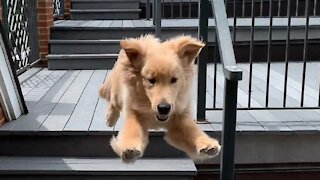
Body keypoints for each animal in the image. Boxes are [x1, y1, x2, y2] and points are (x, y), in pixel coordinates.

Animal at [99, 34, 220, 162]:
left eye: (174, 79)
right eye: (151, 80)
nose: (164, 108)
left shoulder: (179, 117)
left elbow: (192, 129)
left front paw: (207, 144)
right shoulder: (133, 110)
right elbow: (132, 129)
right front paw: (129, 148)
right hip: (118, 93)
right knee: (113, 101)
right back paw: (110, 119)